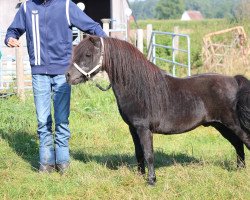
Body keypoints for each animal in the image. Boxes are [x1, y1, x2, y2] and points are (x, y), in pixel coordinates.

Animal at [66, 35, 250, 185]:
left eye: (88, 55)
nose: (68, 76)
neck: (137, 88)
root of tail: (234, 80)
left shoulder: (144, 128)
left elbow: (149, 154)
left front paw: (151, 180)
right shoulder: (133, 128)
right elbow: (139, 153)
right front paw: (140, 176)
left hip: (233, 125)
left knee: (245, 141)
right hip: (221, 126)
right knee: (237, 144)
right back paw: (239, 169)